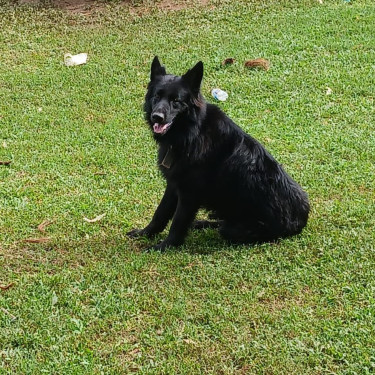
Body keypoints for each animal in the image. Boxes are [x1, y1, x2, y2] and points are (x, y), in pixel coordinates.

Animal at [128, 57, 310, 251]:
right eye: (157, 96)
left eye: (176, 100)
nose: (157, 117)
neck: (193, 132)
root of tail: (301, 220)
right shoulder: (173, 184)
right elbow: (160, 213)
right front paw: (145, 233)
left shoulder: (189, 194)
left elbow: (177, 223)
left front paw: (165, 246)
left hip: (235, 229)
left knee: (224, 226)